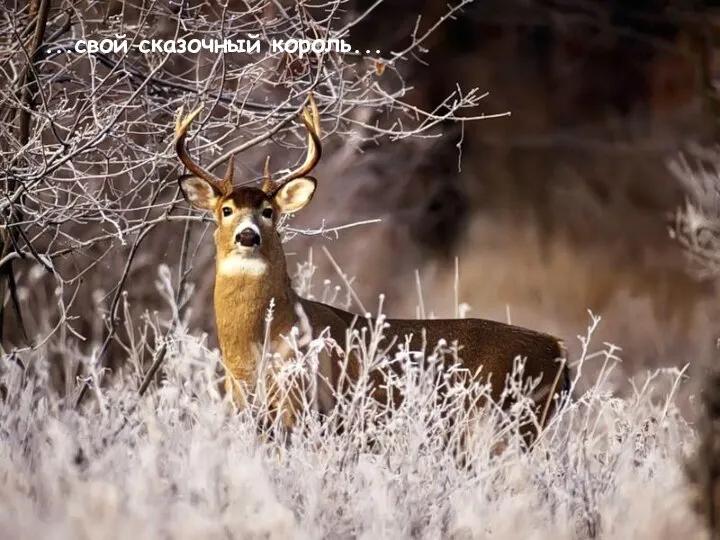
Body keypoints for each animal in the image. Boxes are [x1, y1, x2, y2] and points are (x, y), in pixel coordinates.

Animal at [172, 94, 572, 456]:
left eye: (268, 211)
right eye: (226, 210)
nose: (247, 235)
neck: (255, 346)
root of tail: (558, 349)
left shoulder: (303, 404)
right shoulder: (246, 406)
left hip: (508, 421)